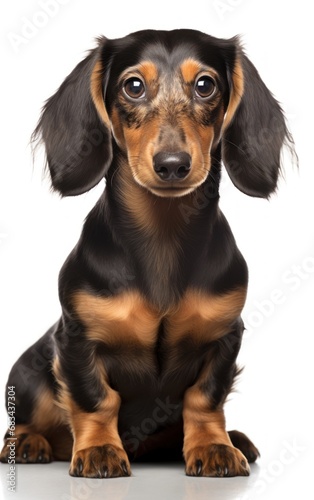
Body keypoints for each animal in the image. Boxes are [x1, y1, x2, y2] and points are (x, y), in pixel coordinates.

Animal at [1, 29, 294, 478]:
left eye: (205, 84)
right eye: (133, 86)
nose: (172, 164)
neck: (163, 237)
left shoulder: (225, 338)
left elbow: (205, 399)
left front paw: (213, 447)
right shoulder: (76, 339)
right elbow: (95, 399)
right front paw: (100, 450)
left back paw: (233, 439)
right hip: (28, 374)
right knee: (29, 420)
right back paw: (30, 443)